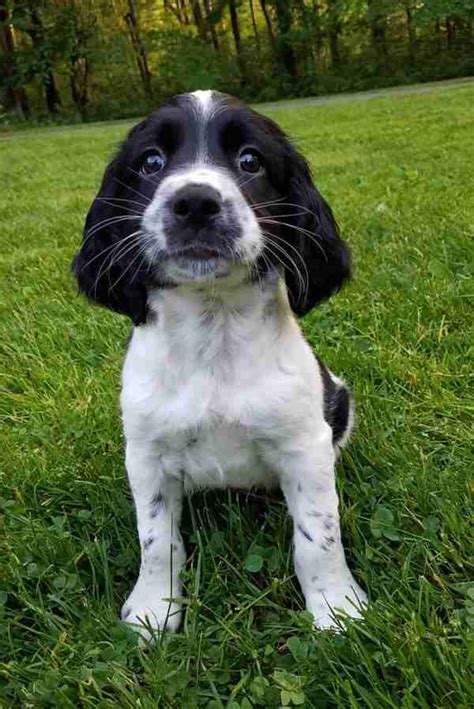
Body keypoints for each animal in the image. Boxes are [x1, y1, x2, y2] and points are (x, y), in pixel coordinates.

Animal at [73, 90, 366, 640]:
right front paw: (154, 609)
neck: (215, 338)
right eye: (151, 162)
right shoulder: (145, 453)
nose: (195, 202)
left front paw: (337, 610)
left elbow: (319, 536)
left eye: (250, 160)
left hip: (337, 400)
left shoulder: (304, 446)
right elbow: (157, 541)